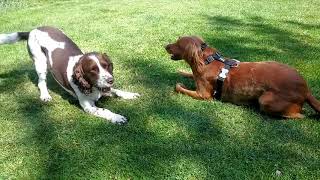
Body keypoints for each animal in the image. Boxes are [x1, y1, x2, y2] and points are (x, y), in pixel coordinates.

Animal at [0, 26, 140, 124]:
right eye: (93, 70)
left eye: (106, 66)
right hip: (40, 62)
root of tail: (32, 30)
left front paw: (130, 94)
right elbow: (104, 110)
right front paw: (117, 117)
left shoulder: (105, 88)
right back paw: (45, 95)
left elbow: (117, 91)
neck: (90, 85)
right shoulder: (87, 106)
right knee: (41, 81)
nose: (111, 80)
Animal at [165, 35, 320, 119]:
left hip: (266, 100)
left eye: (178, 44)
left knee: (299, 115)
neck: (207, 59)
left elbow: (179, 87)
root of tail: (306, 89)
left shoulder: (203, 95)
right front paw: (181, 71)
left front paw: (180, 84)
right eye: (177, 40)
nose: (165, 46)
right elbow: (190, 73)